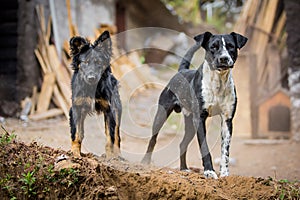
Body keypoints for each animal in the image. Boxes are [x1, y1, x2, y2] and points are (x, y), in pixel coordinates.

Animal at [69, 30, 122, 158]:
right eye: (85, 62)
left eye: (98, 62)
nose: (91, 78)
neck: (92, 87)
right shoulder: (76, 107)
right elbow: (76, 133)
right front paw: (75, 154)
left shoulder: (109, 110)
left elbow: (110, 136)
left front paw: (110, 157)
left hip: (117, 107)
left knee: (117, 134)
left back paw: (118, 155)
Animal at [142, 31, 247, 180]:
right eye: (213, 47)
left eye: (231, 46)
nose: (224, 58)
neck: (218, 83)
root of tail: (181, 71)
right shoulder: (200, 119)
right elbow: (205, 148)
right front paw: (209, 171)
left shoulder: (227, 120)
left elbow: (225, 151)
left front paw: (225, 173)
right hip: (162, 115)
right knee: (153, 140)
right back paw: (145, 162)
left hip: (190, 124)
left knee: (182, 144)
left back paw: (184, 168)